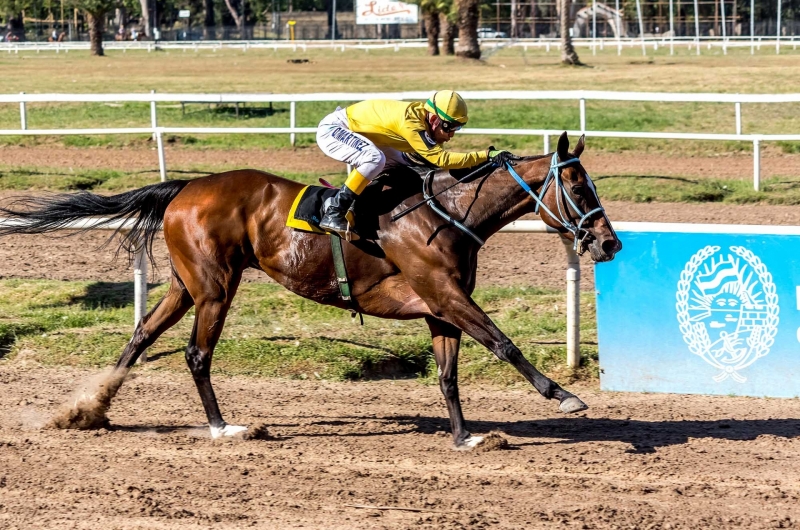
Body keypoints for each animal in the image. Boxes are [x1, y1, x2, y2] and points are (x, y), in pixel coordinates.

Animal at [0, 131, 620, 446]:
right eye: (577, 186)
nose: (609, 243)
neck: (445, 211)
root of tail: (185, 188)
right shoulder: (445, 296)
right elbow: (502, 342)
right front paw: (564, 395)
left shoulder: (439, 308)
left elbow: (448, 376)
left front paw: (467, 437)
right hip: (216, 288)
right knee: (197, 354)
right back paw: (225, 428)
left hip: (185, 285)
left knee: (140, 337)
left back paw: (88, 409)